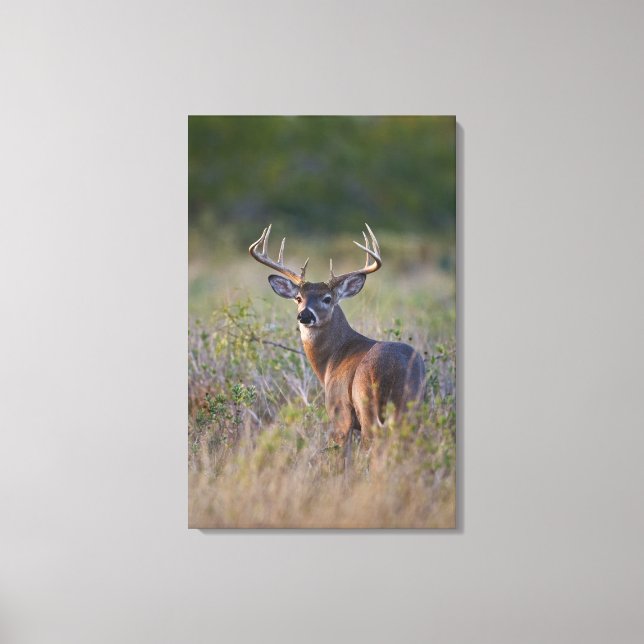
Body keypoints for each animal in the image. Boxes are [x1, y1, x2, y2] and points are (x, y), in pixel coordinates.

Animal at [249, 224, 425, 459]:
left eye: (327, 298)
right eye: (298, 298)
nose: (304, 315)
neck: (331, 360)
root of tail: (394, 370)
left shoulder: (338, 410)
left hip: (367, 403)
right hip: (413, 406)